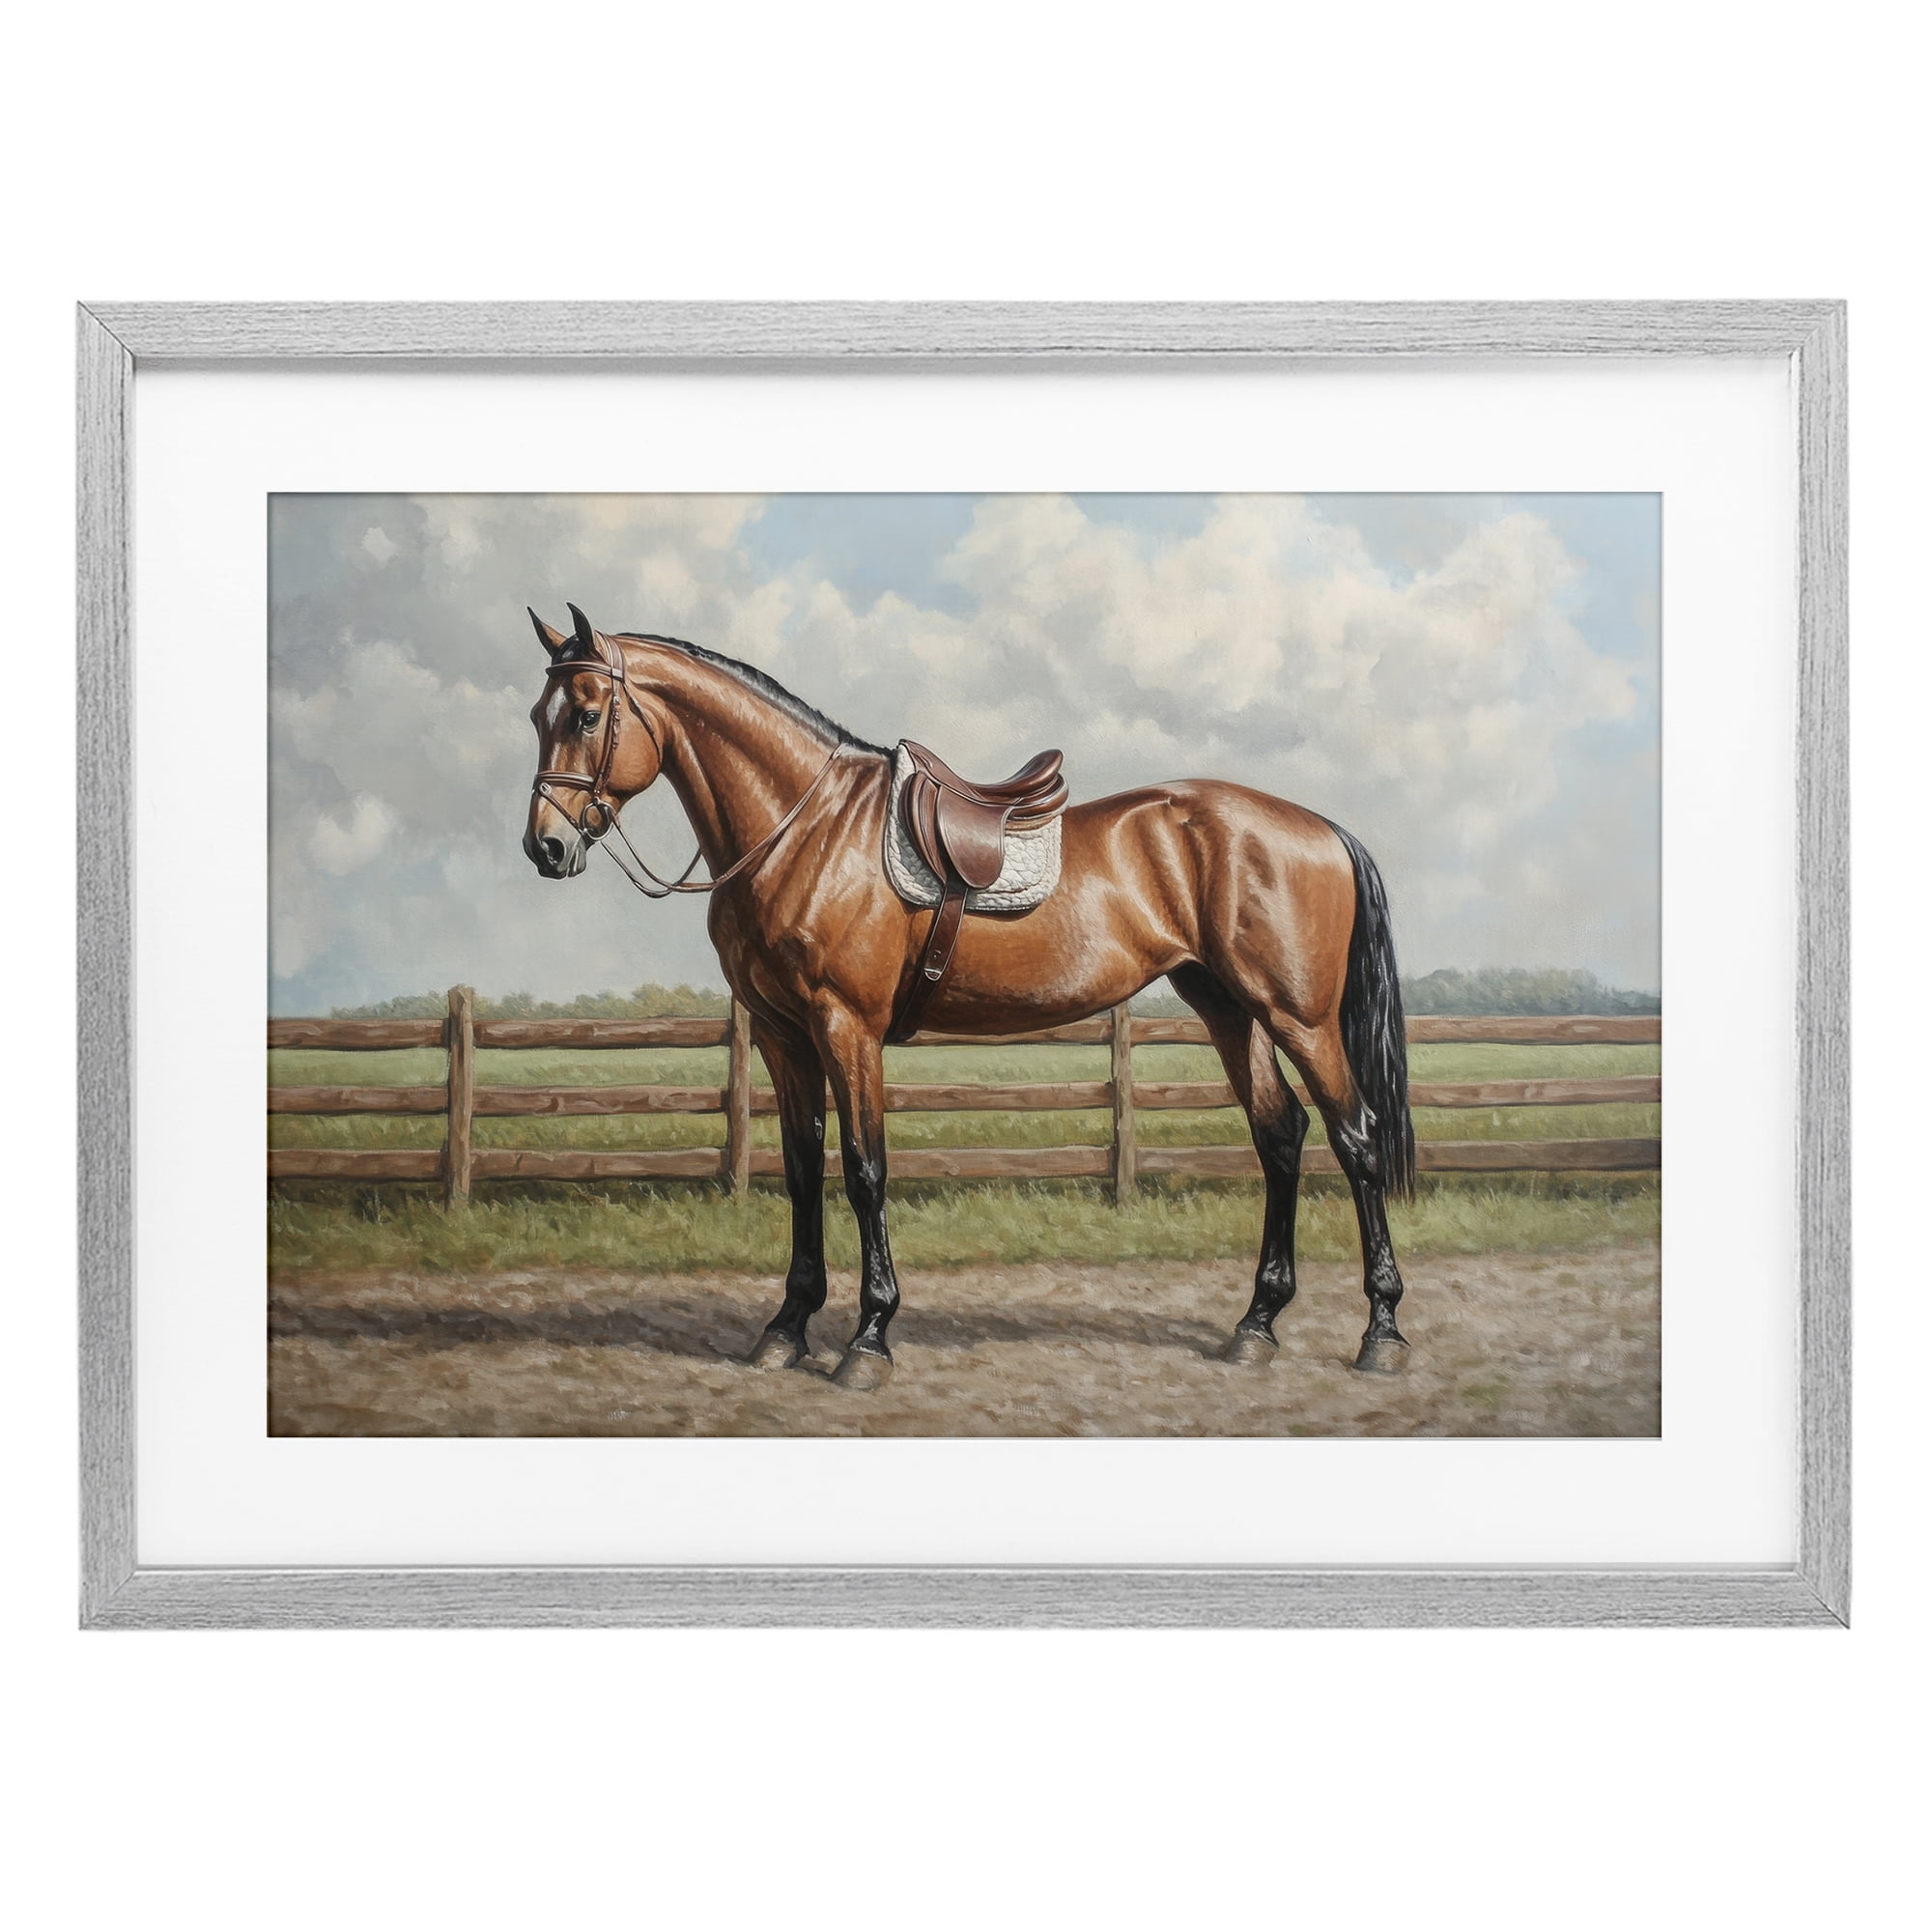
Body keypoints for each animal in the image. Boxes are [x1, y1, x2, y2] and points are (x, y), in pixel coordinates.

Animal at [523, 603, 1415, 1392]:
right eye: (540, 714)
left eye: (590, 714)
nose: (546, 847)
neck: (802, 829)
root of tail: (1320, 828)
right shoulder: (782, 1035)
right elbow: (804, 1169)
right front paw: (786, 1327)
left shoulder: (846, 1027)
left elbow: (864, 1169)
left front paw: (869, 1338)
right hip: (1231, 1009)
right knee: (1281, 1136)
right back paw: (1256, 1326)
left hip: (1299, 1017)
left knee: (1356, 1137)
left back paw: (1382, 1333)